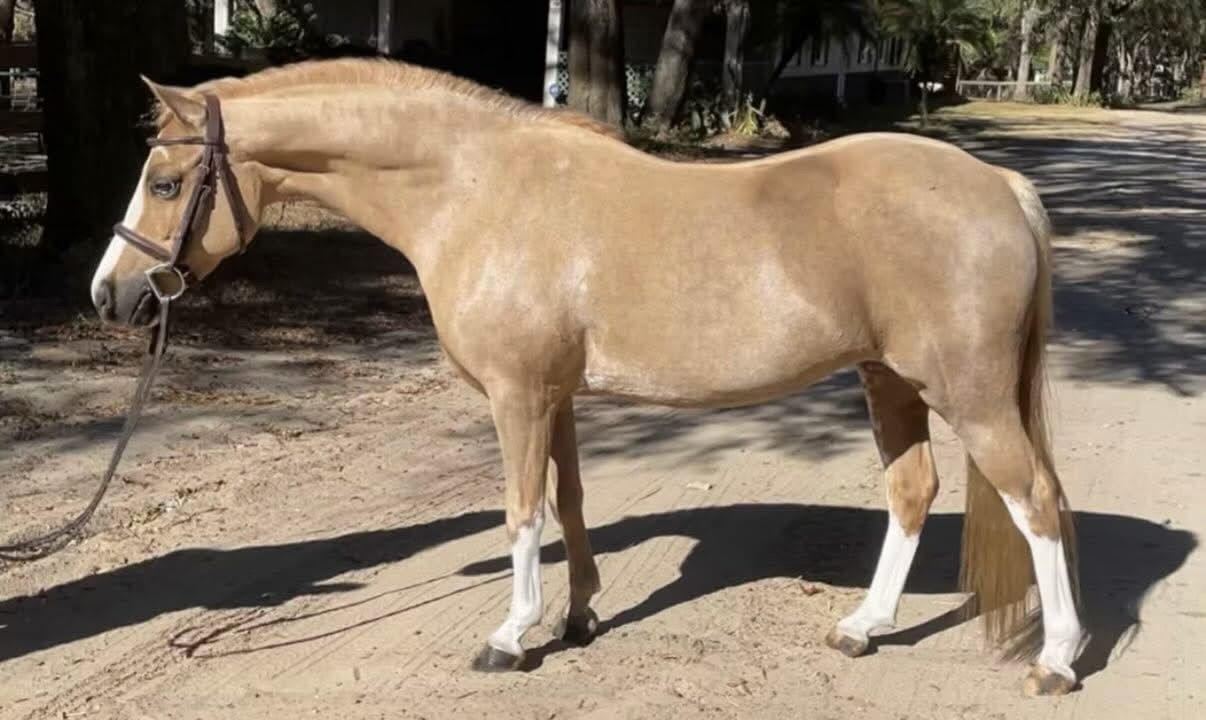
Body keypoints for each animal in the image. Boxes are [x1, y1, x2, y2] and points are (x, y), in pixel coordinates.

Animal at [91, 58, 1083, 695]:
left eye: (167, 182)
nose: (111, 295)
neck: (475, 191)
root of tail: (998, 186)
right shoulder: (554, 398)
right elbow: (567, 505)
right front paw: (575, 620)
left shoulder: (518, 398)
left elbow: (522, 513)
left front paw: (508, 637)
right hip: (889, 381)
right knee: (912, 491)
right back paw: (863, 628)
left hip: (970, 395)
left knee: (1036, 500)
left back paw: (1058, 658)